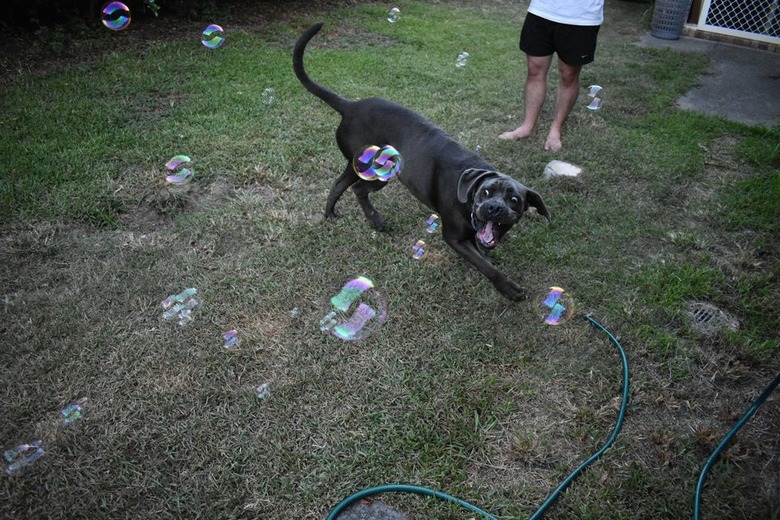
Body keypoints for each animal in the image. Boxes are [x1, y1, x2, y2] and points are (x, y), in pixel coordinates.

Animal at [290, 22, 552, 300]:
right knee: (358, 188)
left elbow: (483, 252)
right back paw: (375, 220)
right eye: (486, 192)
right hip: (375, 170)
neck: (468, 197)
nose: (493, 208)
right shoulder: (453, 237)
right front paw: (507, 287)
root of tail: (350, 106)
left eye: (514, 200)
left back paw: (331, 214)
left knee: (339, 185)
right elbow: (484, 265)